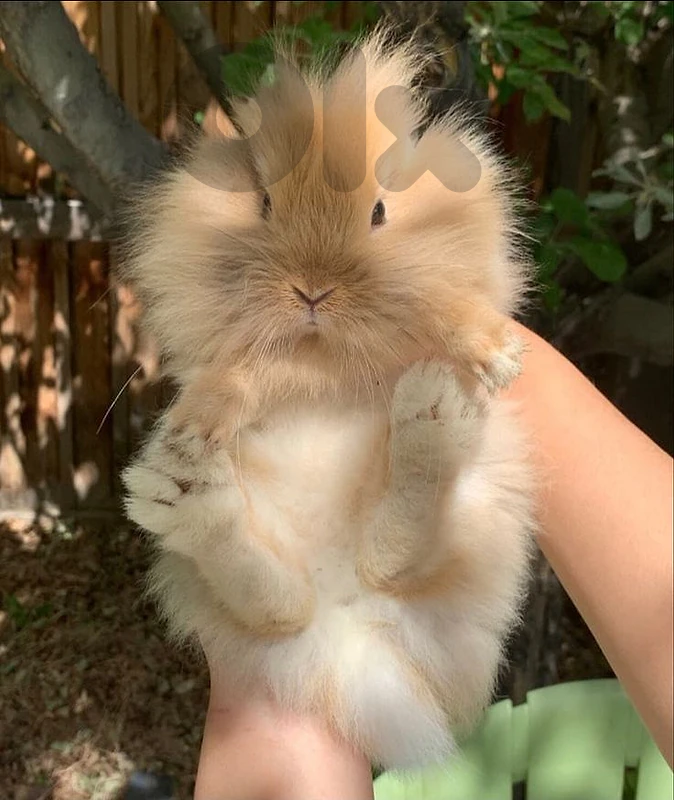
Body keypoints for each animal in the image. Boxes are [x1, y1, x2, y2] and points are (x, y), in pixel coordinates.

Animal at [120, 27, 535, 770]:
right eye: (263, 205)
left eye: (379, 211)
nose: (311, 290)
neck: (326, 359)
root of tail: (350, 624)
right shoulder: (258, 364)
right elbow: (235, 376)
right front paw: (193, 426)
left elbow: (439, 305)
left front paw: (495, 354)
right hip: (232, 584)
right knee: (279, 602)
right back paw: (188, 490)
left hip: (490, 513)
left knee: (397, 555)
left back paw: (431, 415)